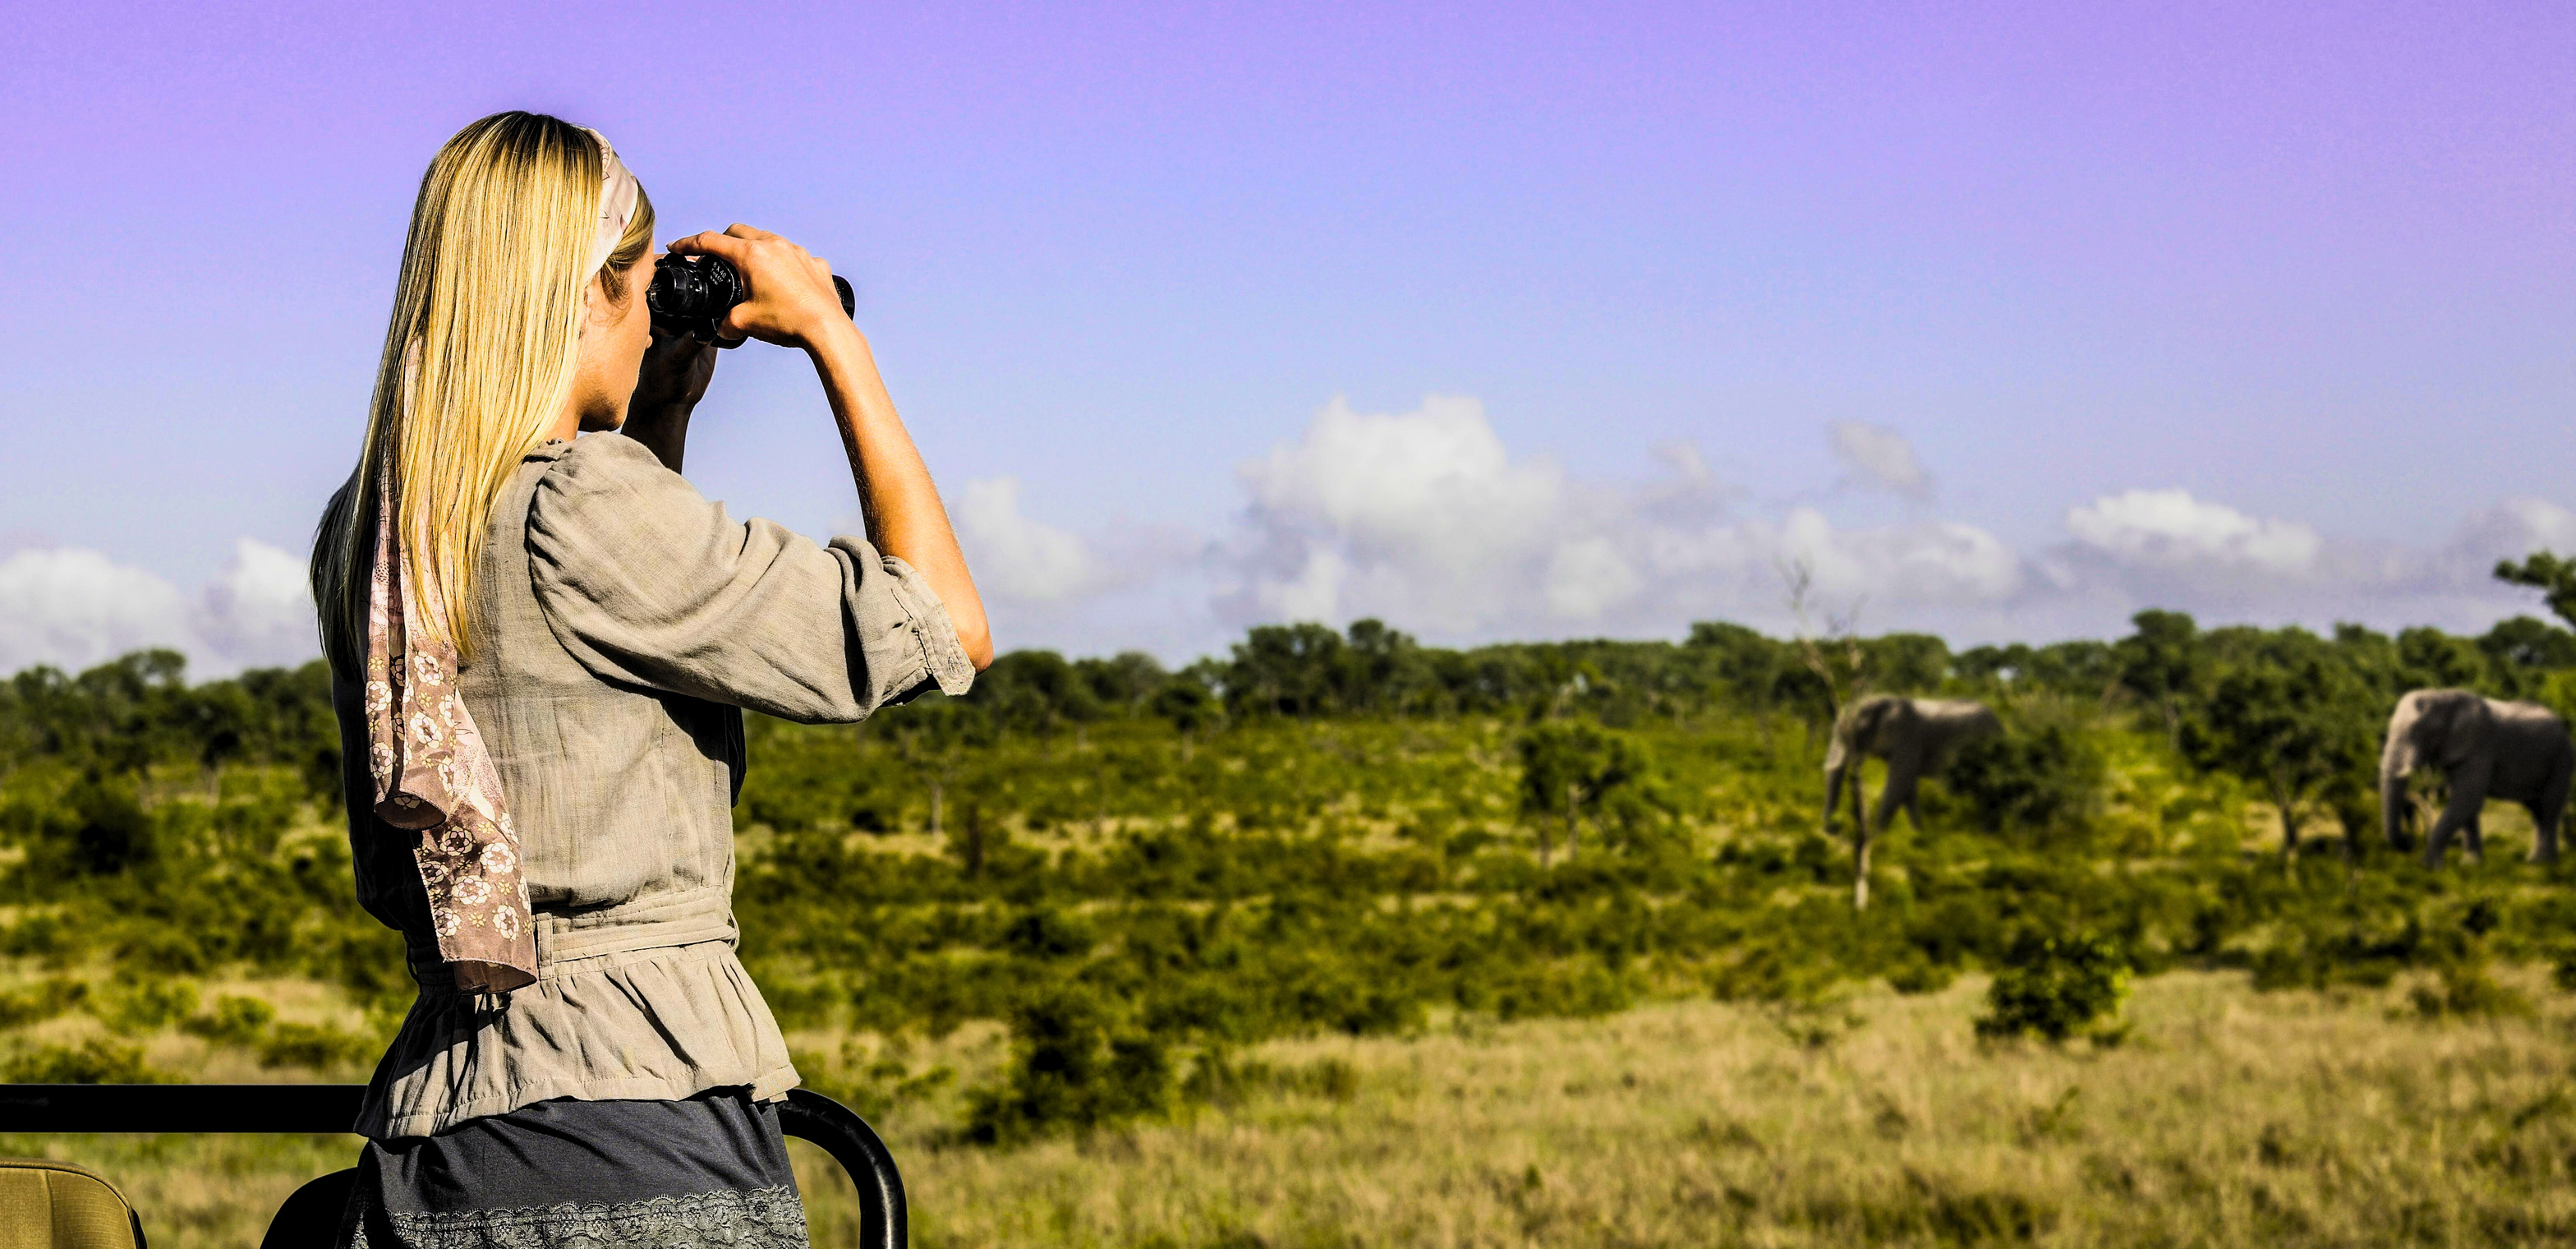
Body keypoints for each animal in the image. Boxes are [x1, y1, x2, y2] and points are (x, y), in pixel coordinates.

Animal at [1822, 695, 2001, 909]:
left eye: (1853, 731)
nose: (1835, 828)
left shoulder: (1907, 739)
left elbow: (1897, 787)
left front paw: (1877, 839)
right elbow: (1908, 792)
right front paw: (1919, 839)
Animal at [2379, 688, 2573, 867]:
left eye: (2423, 732)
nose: (2409, 840)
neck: (2443, 695)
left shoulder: (2479, 747)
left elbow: (2467, 799)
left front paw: (2428, 867)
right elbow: (2465, 802)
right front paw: (2471, 864)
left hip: (2562, 759)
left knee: (2549, 808)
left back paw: (2544, 864)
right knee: (2536, 810)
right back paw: (2536, 861)